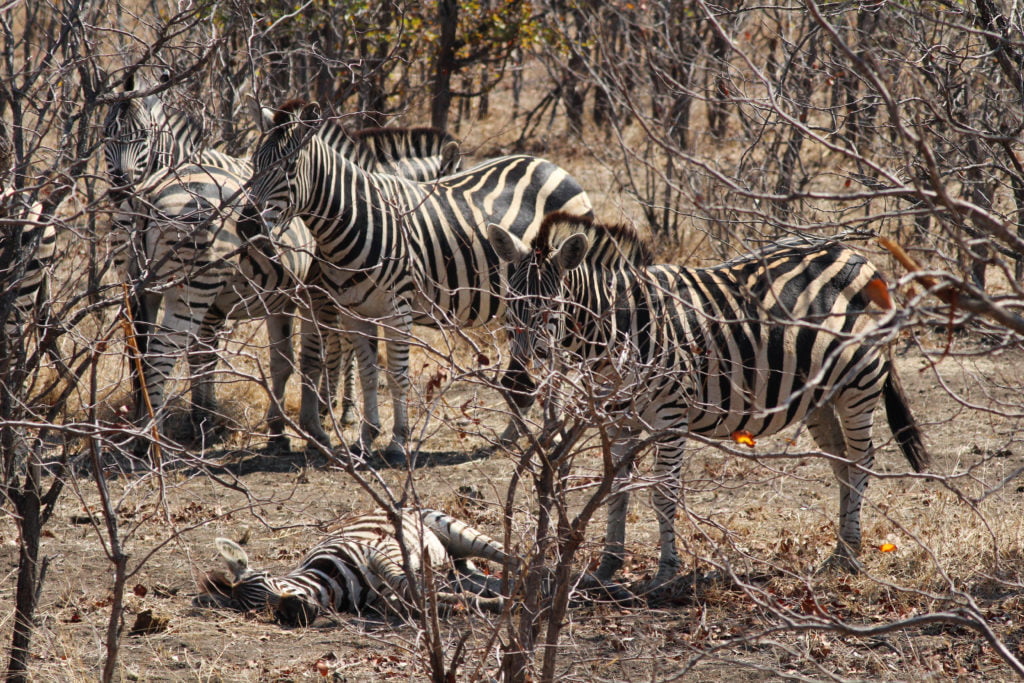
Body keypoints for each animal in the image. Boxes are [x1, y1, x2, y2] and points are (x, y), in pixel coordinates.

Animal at [194, 508, 513, 625]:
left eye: (269, 579)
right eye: (260, 612)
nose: (298, 611)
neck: (332, 588)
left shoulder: (378, 550)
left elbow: (407, 584)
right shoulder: (386, 601)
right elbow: (415, 597)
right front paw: (480, 604)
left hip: (452, 529)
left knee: (507, 555)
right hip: (454, 569)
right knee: (481, 579)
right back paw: (512, 591)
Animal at [245, 99, 594, 460]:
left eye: (289, 168)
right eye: (254, 164)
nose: (246, 225)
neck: (357, 220)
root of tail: (549, 164)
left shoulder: (395, 308)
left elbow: (395, 376)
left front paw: (398, 441)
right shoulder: (353, 311)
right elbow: (367, 372)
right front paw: (364, 438)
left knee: (557, 361)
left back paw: (550, 434)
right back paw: (516, 435)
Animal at [487, 212, 929, 584]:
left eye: (554, 307)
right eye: (509, 303)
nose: (519, 377)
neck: (616, 328)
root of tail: (857, 255)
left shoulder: (670, 414)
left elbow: (663, 493)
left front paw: (666, 571)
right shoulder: (618, 416)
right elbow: (617, 490)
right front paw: (610, 563)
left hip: (858, 383)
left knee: (861, 460)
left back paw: (851, 554)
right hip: (820, 396)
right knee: (840, 463)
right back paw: (839, 551)